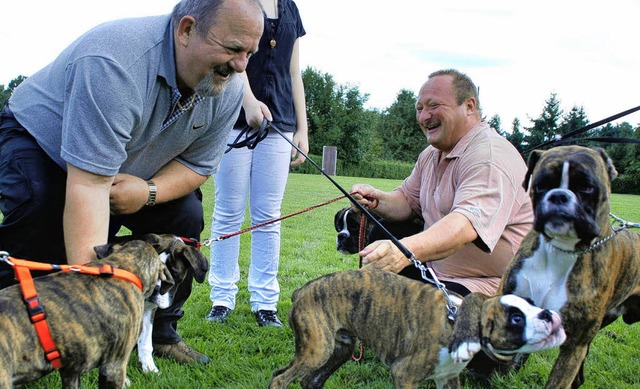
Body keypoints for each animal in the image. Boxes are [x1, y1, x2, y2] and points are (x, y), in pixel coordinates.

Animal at [270, 266, 564, 388]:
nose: (548, 314)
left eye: (531, 303)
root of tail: (302, 291)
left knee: (309, 379)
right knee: (280, 378)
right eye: (516, 318)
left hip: (339, 348)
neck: (456, 321)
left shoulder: (448, 379)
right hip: (318, 349)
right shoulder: (404, 375)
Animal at [448, 144, 640, 386]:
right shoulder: (502, 296)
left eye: (586, 187)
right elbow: (472, 298)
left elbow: (558, 380)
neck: (559, 250)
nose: (558, 195)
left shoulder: (574, 346)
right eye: (540, 186)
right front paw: (464, 337)